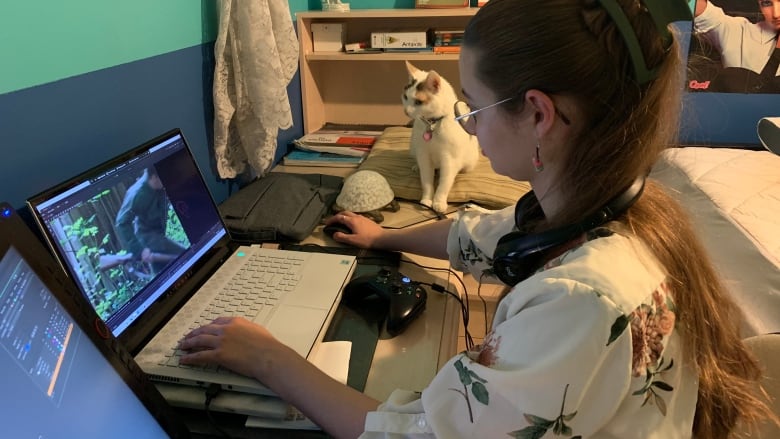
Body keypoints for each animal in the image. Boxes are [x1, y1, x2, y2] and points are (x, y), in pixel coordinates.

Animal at [402, 61, 482, 213]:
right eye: (405, 97)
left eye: (418, 102)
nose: (406, 111)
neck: (433, 124)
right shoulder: (424, 156)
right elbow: (427, 181)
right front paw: (427, 200)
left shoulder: (450, 160)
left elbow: (444, 184)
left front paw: (438, 201)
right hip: (413, 148)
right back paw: (416, 166)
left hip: (469, 162)